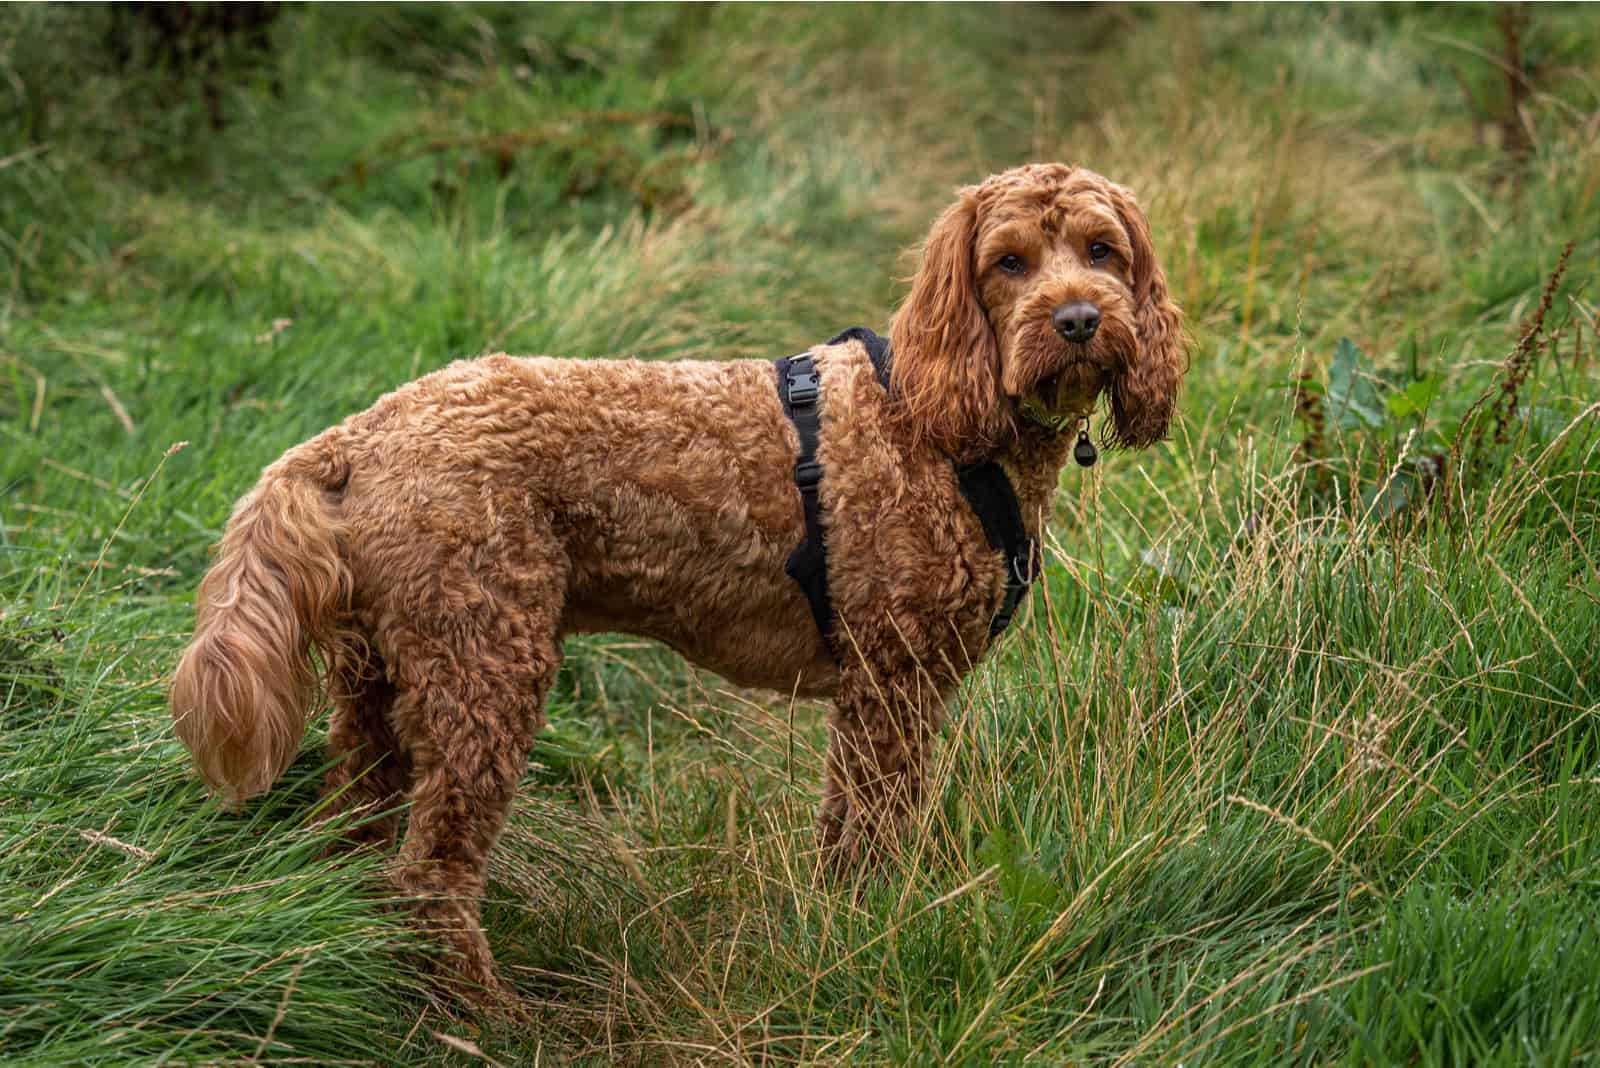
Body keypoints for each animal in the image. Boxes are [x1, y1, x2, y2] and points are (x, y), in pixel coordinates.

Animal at [172, 163, 1190, 1004]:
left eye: (1102, 250)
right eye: (1008, 262)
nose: (1078, 320)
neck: (939, 427)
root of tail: (356, 437)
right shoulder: (890, 685)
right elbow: (867, 836)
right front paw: (869, 931)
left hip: (378, 683)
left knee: (354, 833)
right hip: (484, 666)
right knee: (429, 874)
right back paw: (485, 1014)